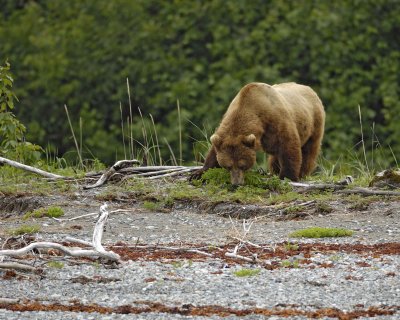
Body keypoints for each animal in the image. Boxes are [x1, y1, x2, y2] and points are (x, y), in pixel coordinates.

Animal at [191, 81, 324, 184]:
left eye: (242, 165)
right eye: (228, 166)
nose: (236, 184)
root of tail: (309, 88)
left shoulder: (275, 121)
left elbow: (288, 145)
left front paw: (287, 176)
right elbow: (214, 151)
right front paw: (198, 173)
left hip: (314, 122)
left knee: (308, 150)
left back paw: (301, 173)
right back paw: (274, 171)